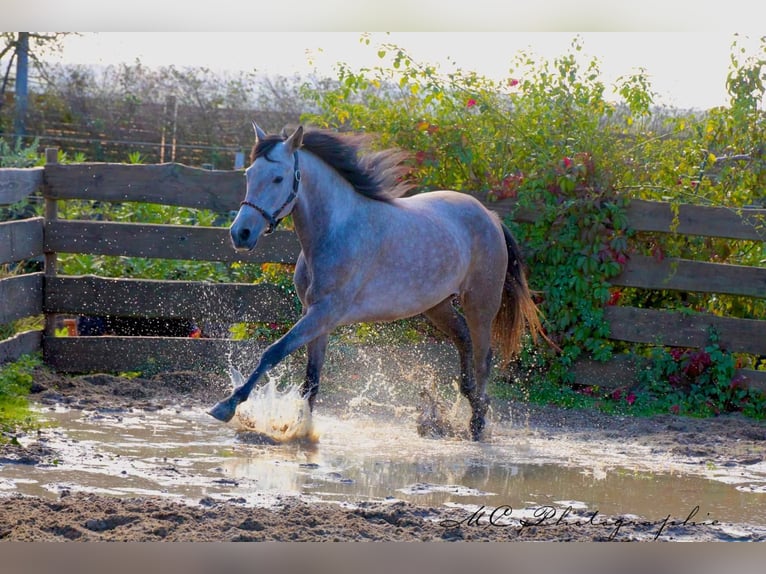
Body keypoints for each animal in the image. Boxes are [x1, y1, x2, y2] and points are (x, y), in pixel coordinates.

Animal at [208, 124, 545, 440]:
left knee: (483, 357)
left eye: (278, 178)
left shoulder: (324, 313)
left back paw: (477, 424)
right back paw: (467, 406)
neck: (336, 229)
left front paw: (227, 406)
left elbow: (273, 352)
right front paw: (301, 429)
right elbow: (312, 380)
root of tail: (490, 216)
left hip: (480, 304)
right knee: (462, 339)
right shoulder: (317, 317)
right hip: (437, 305)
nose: (240, 234)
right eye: (250, 174)